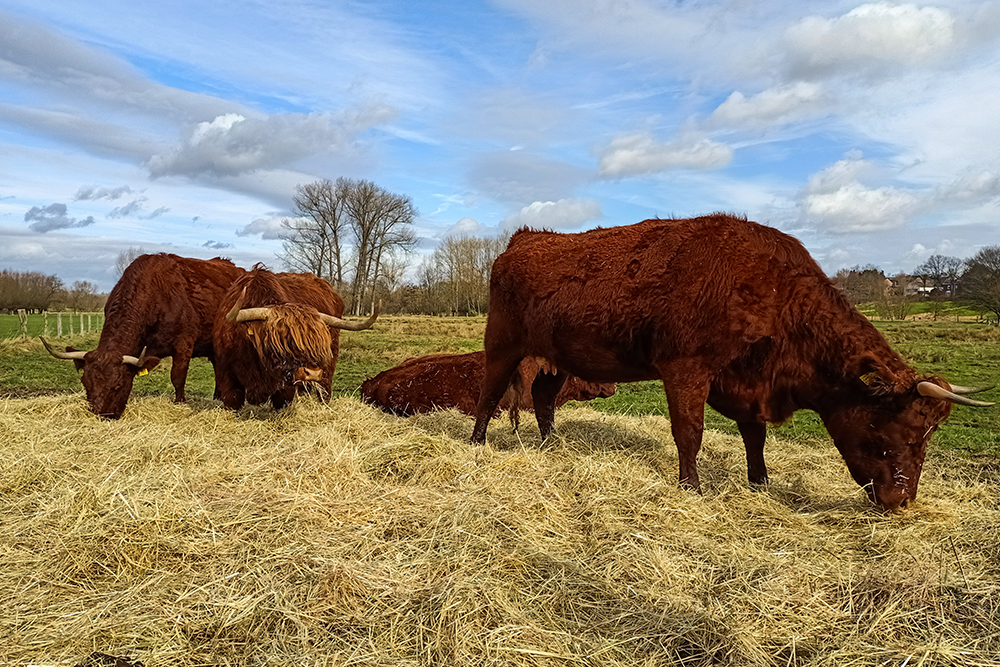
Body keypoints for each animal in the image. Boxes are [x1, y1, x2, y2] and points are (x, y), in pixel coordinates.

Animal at [42, 253, 246, 420]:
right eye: (85, 383)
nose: (103, 415)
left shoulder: (184, 344)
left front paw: (179, 403)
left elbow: (178, 377)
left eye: (118, 384)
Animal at [212, 268, 378, 412]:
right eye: (282, 343)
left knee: (324, 390)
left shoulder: (286, 387)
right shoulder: (226, 375)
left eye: (319, 342)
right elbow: (232, 402)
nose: (312, 373)